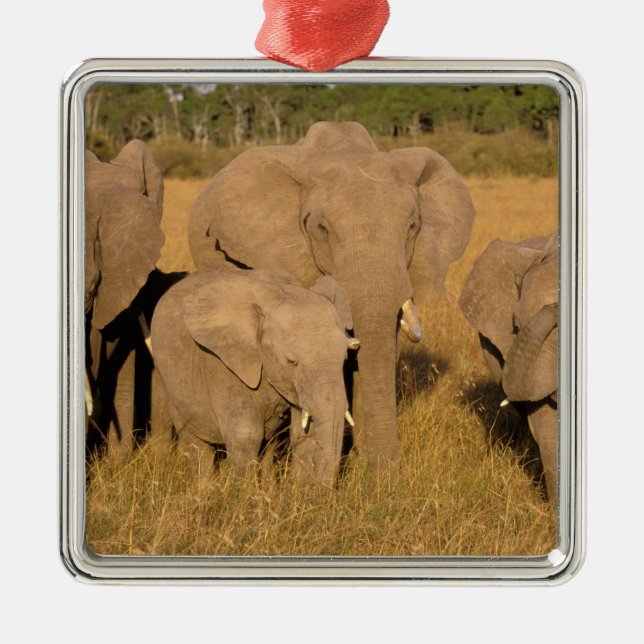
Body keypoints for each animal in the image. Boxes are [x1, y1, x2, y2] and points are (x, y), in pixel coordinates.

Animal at [150, 265, 359, 484]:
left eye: (344, 359)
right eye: (291, 362)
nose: (323, 489)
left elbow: (304, 432)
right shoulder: (224, 365)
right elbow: (246, 436)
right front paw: (244, 491)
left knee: (269, 445)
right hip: (169, 379)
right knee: (195, 444)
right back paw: (204, 489)